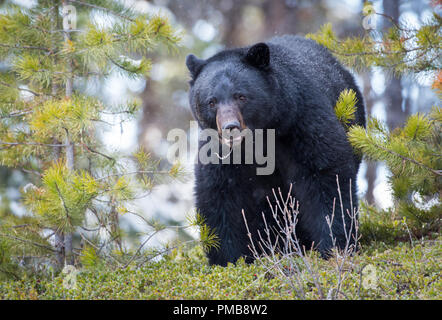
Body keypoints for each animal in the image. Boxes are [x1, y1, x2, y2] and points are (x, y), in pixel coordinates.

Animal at [186, 35, 366, 266]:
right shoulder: (220, 153)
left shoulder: (301, 123)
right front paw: (228, 260)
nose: (230, 127)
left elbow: (325, 178)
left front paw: (334, 247)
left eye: (241, 96)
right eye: (211, 101)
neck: (259, 138)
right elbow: (220, 196)